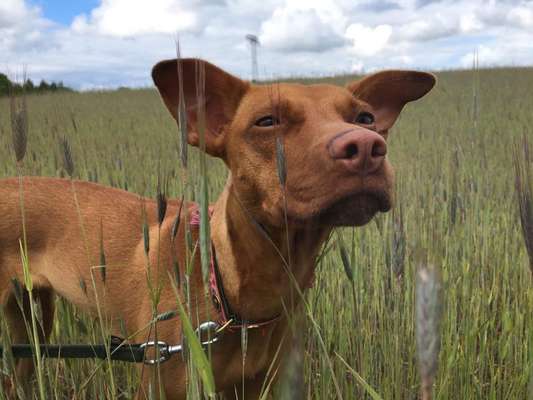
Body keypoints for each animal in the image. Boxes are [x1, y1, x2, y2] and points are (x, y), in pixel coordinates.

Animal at [0, 57, 432, 398]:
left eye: (365, 118)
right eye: (267, 121)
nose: (367, 147)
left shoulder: (259, 386)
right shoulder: (160, 382)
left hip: (33, 324)